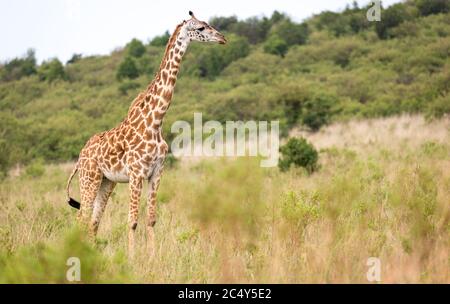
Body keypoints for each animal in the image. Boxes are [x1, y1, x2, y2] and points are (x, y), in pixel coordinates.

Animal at [65, 11, 227, 254]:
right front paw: (132, 258)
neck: (155, 121)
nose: (222, 38)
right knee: (81, 219)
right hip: (89, 178)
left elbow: (151, 219)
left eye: (208, 25)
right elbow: (132, 220)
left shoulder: (157, 172)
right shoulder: (136, 173)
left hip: (106, 182)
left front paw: (152, 256)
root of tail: (79, 157)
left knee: (93, 221)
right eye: (200, 28)